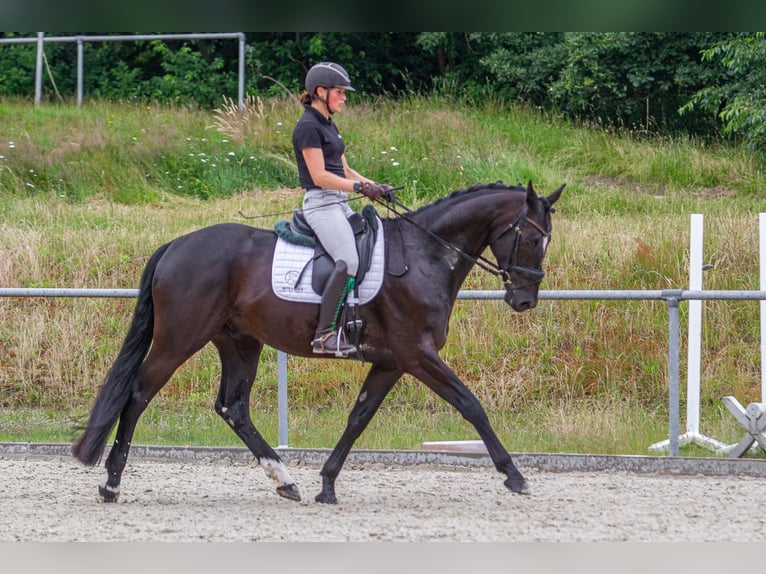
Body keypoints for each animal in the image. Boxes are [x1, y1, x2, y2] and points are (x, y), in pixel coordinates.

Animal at [72, 180, 564, 504]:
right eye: (531, 238)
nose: (525, 300)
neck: (425, 256)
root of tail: (176, 245)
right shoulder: (418, 355)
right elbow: (470, 405)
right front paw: (514, 474)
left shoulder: (391, 362)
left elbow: (358, 417)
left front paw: (326, 484)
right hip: (179, 339)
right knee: (138, 395)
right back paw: (111, 484)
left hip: (239, 343)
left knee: (233, 407)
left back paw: (285, 480)